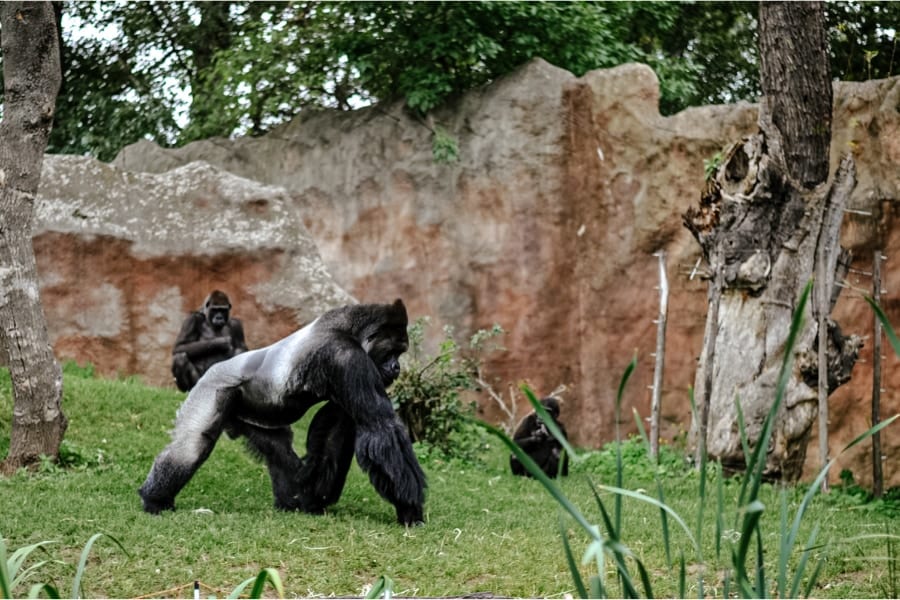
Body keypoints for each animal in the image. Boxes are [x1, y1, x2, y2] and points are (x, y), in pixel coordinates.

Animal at [138, 298, 426, 524]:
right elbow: (381, 427)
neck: (351, 329)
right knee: (193, 444)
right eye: (392, 351)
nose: (397, 368)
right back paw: (155, 499)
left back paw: (293, 501)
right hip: (212, 387)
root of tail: (213, 369)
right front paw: (410, 509)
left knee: (277, 449)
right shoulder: (347, 358)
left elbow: (335, 429)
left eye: (400, 353)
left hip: (253, 413)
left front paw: (315, 497)